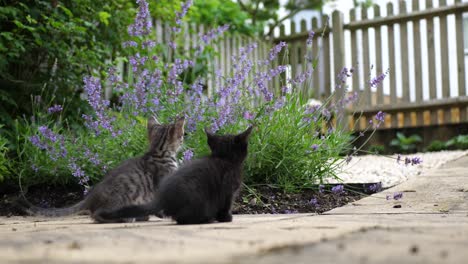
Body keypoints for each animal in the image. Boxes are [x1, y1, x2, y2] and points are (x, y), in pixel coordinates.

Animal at [26, 116, 185, 222]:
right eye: (182, 135)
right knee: (96, 215)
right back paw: (125, 218)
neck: (158, 152)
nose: (185, 137)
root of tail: (90, 197)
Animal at [98, 126, 252, 225]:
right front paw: (227, 218)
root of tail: (164, 199)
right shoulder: (228, 191)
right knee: (183, 219)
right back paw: (207, 219)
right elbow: (226, 205)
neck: (224, 158)